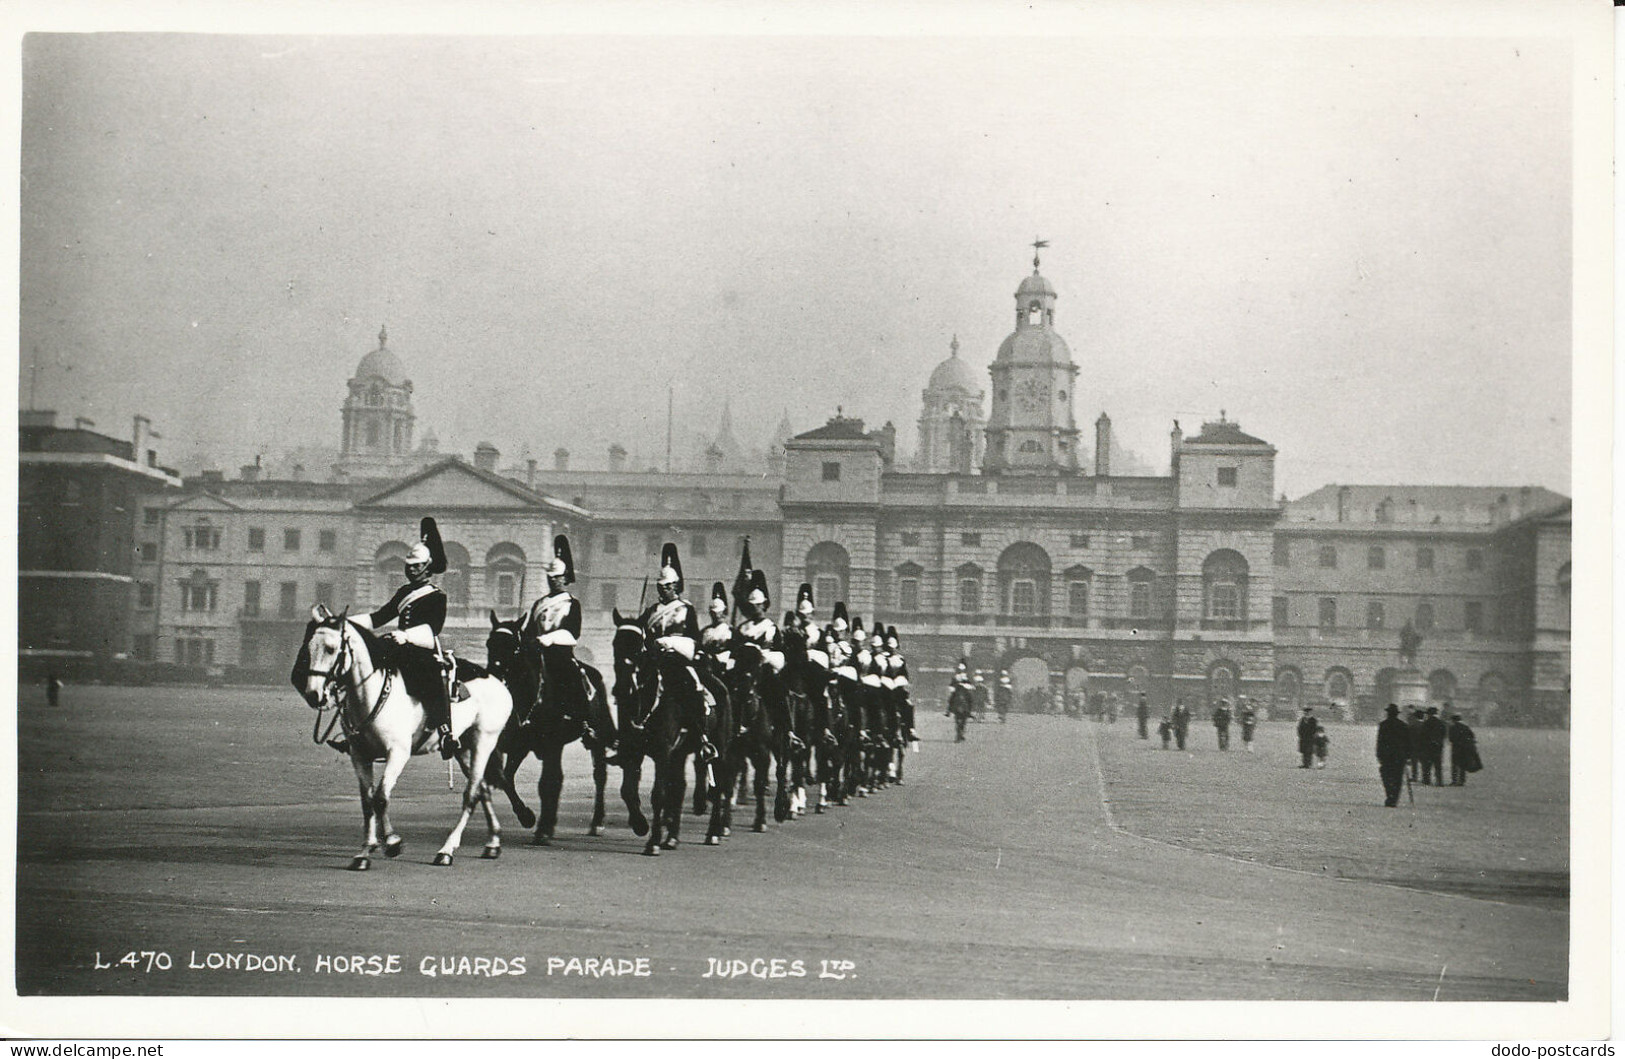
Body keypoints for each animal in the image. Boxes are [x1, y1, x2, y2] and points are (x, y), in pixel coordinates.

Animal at [302, 604, 510, 870]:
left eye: (330, 648)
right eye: (309, 647)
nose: (314, 694)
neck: (373, 694)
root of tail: (499, 682)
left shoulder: (398, 753)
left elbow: (380, 798)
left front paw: (392, 842)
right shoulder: (360, 756)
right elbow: (367, 802)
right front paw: (364, 852)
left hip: (484, 741)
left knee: (471, 794)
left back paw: (447, 850)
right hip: (463, 748)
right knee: (483, 789)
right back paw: (493, 842)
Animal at [484, 610, 611, 844]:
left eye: (514, 647)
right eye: (490, 643)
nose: (494, 677)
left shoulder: (551, 744)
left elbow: (546, 784)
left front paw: (540, 828)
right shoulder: (519, 746)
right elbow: (506, 778)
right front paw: (527, 816)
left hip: (594, 739)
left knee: (599, 775)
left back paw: (596, 822)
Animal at [611, 610, 734, 851]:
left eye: (638, 648)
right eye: (615, 645)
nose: (622, 689)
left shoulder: (662, 752)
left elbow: (659, 794)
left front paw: (653, 842)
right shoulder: (634, 750)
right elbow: (628, 790)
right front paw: (640, 825)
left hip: (720, 750)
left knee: (718, 786)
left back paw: (713, 833)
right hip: (679, 753)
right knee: (679, 788)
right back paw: (672, 837)